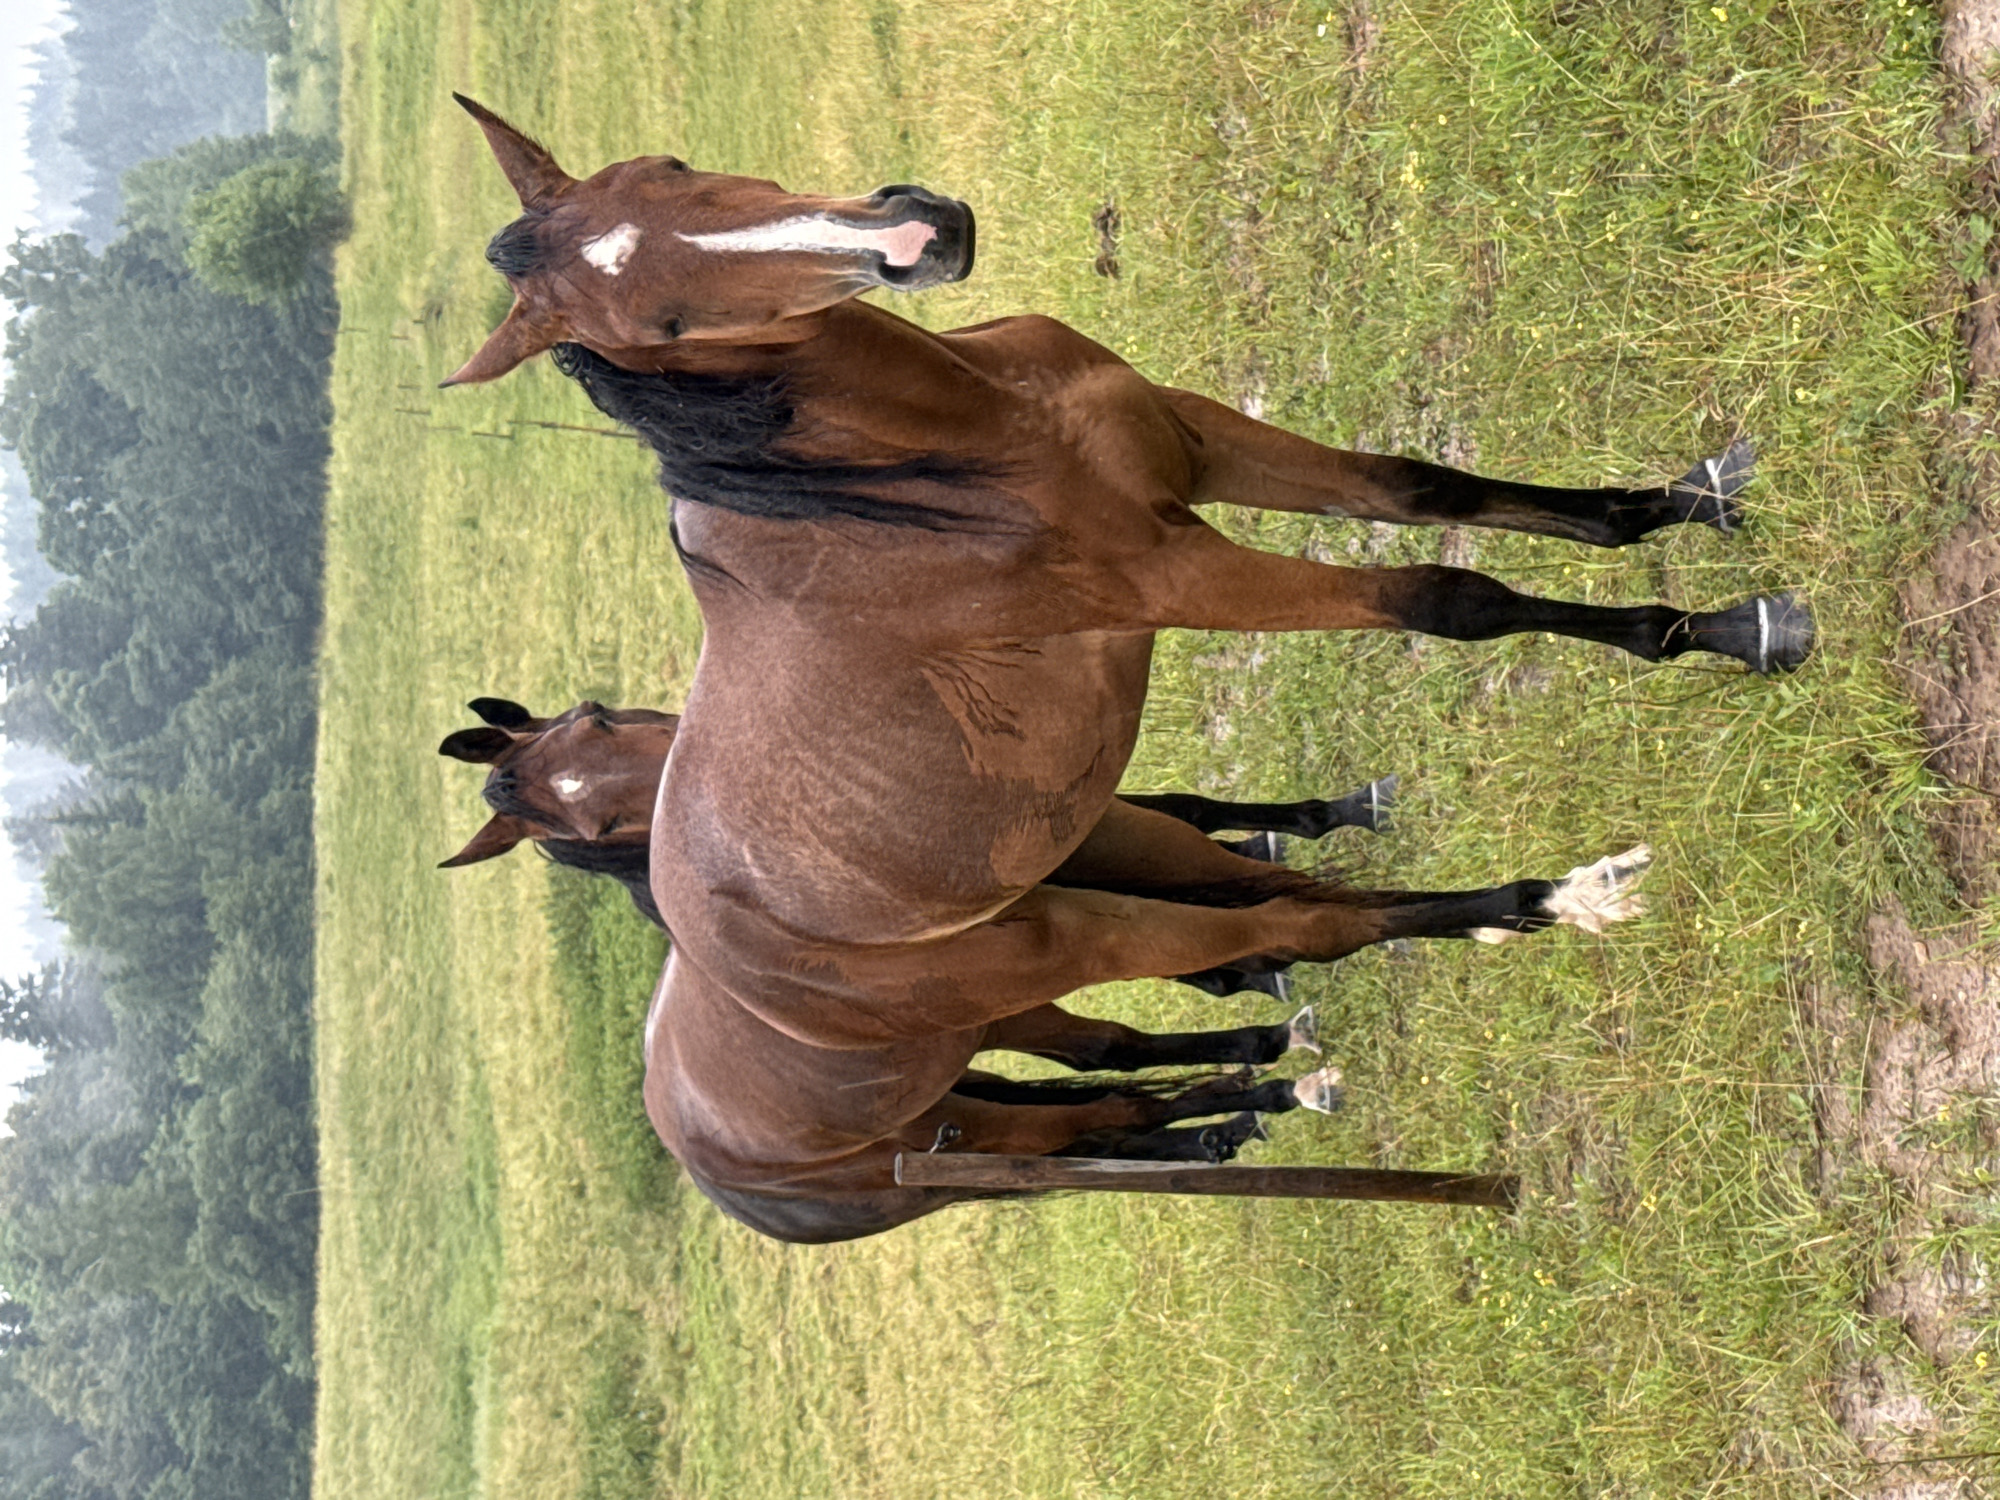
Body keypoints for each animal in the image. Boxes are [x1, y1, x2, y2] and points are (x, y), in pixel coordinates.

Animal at [439, 98, 1762, 1235]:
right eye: (657, 325)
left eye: (663, 169)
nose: (912, 234)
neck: (945, 460)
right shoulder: (1178, 577)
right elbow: (1443, 600)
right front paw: (1712, 629)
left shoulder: (1196, 439)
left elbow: (1424, 488)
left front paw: (1672, 507)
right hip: (1069, 947)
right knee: (1258, 961)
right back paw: (1545, 905)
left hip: (1116, 851)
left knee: (1284, 914)